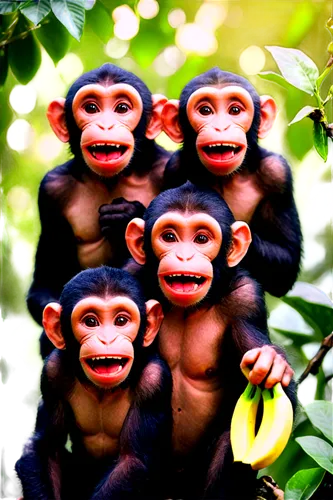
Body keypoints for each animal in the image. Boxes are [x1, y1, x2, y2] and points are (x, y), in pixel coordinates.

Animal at [16, 268, 171, 500]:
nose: (107, 339)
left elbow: (132, 460)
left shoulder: (155, 382)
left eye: (121, 320)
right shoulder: (53, 371)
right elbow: (46, 446)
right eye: (90, 322)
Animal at [26, 62, 170, 358]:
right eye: (91, 108)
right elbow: (44, 281)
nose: (106, 123)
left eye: (122, 108)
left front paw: (125, 215)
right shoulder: (51, 190)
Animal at [124, 182, 294, 498]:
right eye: (169, 237)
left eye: (201, 238)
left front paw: (271, 363)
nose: (184, 256)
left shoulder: (246, 299)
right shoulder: (130, 275)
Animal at [161, 67, 304, 296]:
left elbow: (285, 263)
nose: (221, 127)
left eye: (235, 110)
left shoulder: (278, 174)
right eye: (206, 110)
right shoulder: (175, 168)